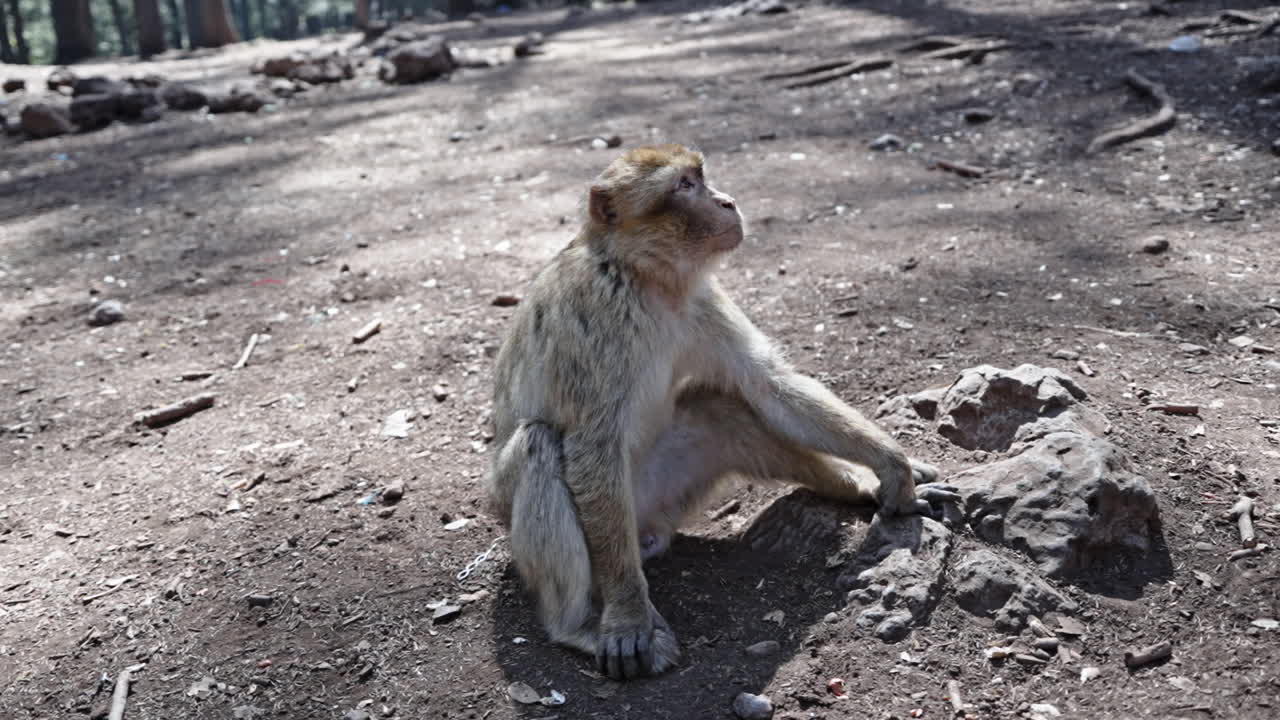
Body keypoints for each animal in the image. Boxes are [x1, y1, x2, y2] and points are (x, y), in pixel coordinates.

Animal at [487, 144, 950, 681]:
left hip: (664, 493)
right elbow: (590, 444)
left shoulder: (701, 299)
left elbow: (767, 384)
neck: (645, 279)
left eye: (700, 176)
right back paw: (576, 624)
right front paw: (626, 617)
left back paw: (854, 488)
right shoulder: (592, 320)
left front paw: (891, 468)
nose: (727, 201)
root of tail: (646, 531)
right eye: (684, 186)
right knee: (540, 443)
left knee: (718, 411)